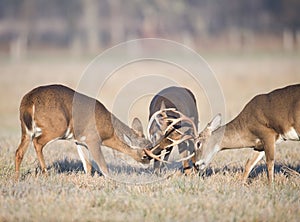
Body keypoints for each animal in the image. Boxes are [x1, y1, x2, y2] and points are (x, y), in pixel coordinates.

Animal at [15, 84, 154, 180]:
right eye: (145, 155)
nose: (148, 163)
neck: (109, 133)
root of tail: (29, 101)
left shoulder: (80, 141)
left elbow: (87, 165)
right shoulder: (93, 139)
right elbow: (102, 166)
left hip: (26, 130)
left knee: (19, 151)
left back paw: (17, 178)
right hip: (57, 127)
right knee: (37, 142)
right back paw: (45, 174)